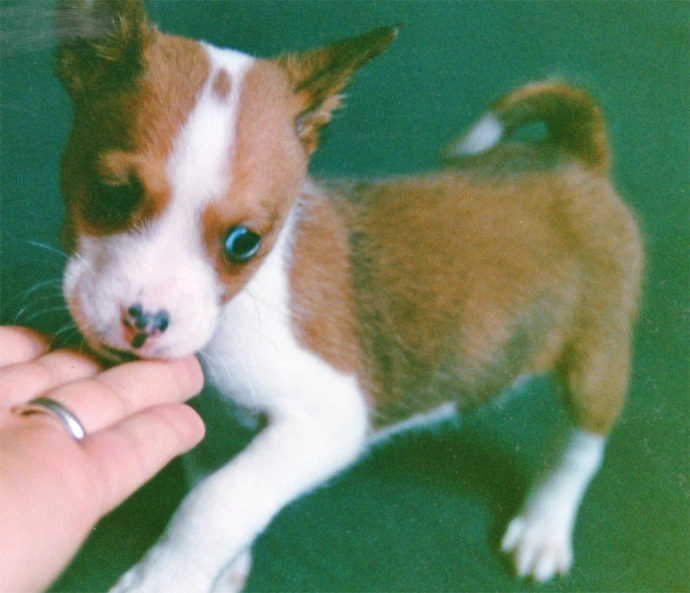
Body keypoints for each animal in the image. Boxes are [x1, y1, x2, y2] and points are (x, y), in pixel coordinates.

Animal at [53, 2, 640, 588]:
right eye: (111, 194)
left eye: (244, 242)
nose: (145, 322)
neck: (241, 304)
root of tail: (577, 160)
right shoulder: (217, 424)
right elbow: (216, 483)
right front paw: (223, 567)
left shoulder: (330, 417)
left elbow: (217, 501)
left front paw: (165, 576)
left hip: (596, 364)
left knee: (580, 449)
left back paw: (544, 526)